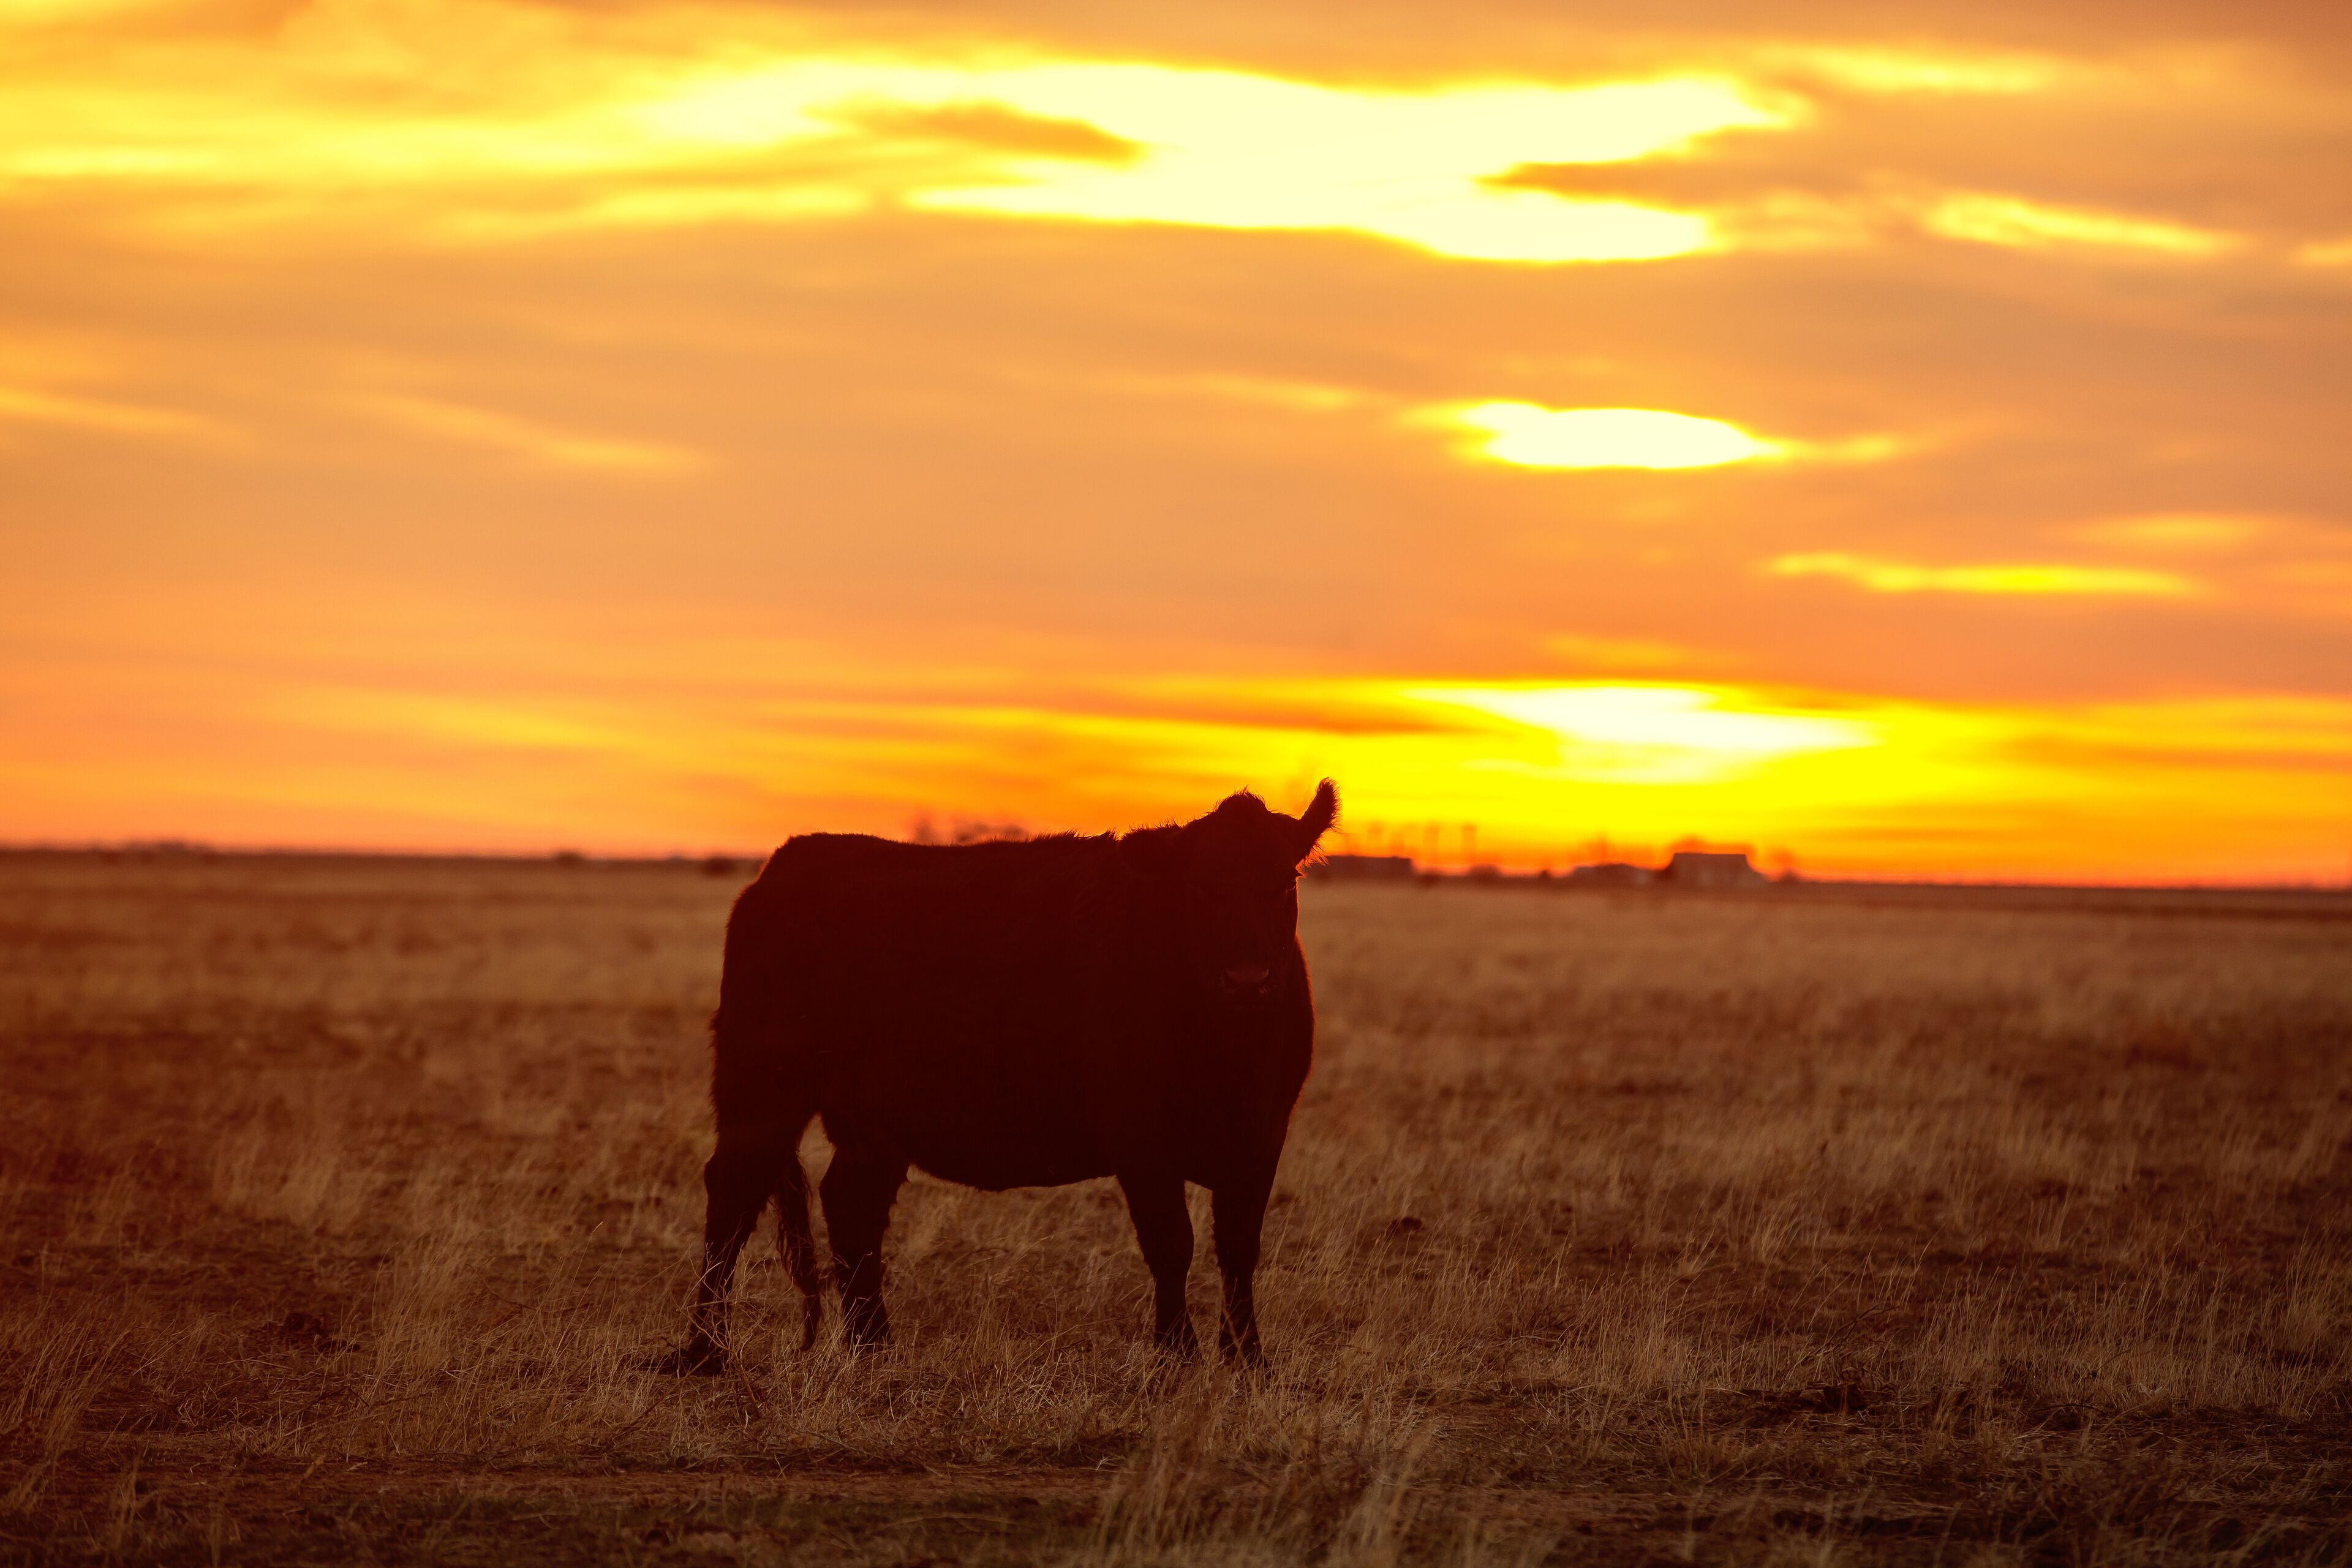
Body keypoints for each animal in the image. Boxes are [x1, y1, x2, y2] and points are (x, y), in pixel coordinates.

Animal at [662, 780, 1338, 1374]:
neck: (1230, 1054)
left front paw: (1249, 1358)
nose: (1248, 979)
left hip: (872, 1121)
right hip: (761, 1087)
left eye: (1285, 881)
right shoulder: (1140, 1139)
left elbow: (1239, 1249)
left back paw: (874, 1346)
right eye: (1200, 886)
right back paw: (703, 1351)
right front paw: (1178, 1354)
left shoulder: (1262, 1136)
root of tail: (789, 862)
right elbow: (1172, 1244)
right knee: (732, 1197)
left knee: (852, 1208)